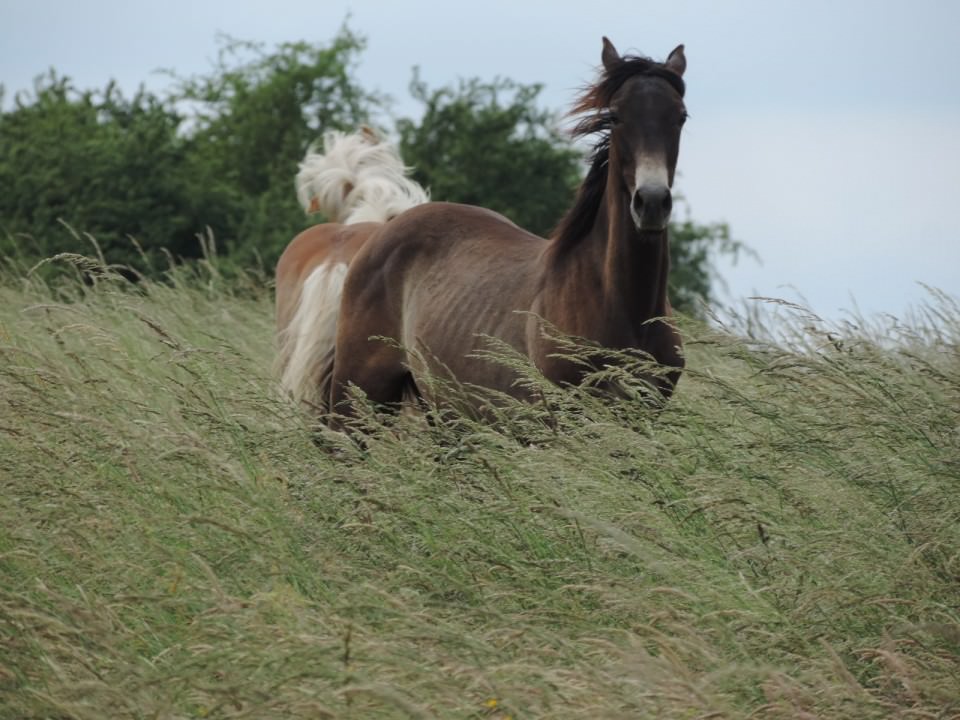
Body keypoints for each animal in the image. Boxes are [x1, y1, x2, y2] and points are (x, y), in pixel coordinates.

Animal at [274, 39, 688, 420]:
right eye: (616, 116)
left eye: (681, 116)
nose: (651, 203)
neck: (614, 303)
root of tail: (375, 233)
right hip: (358, 395)